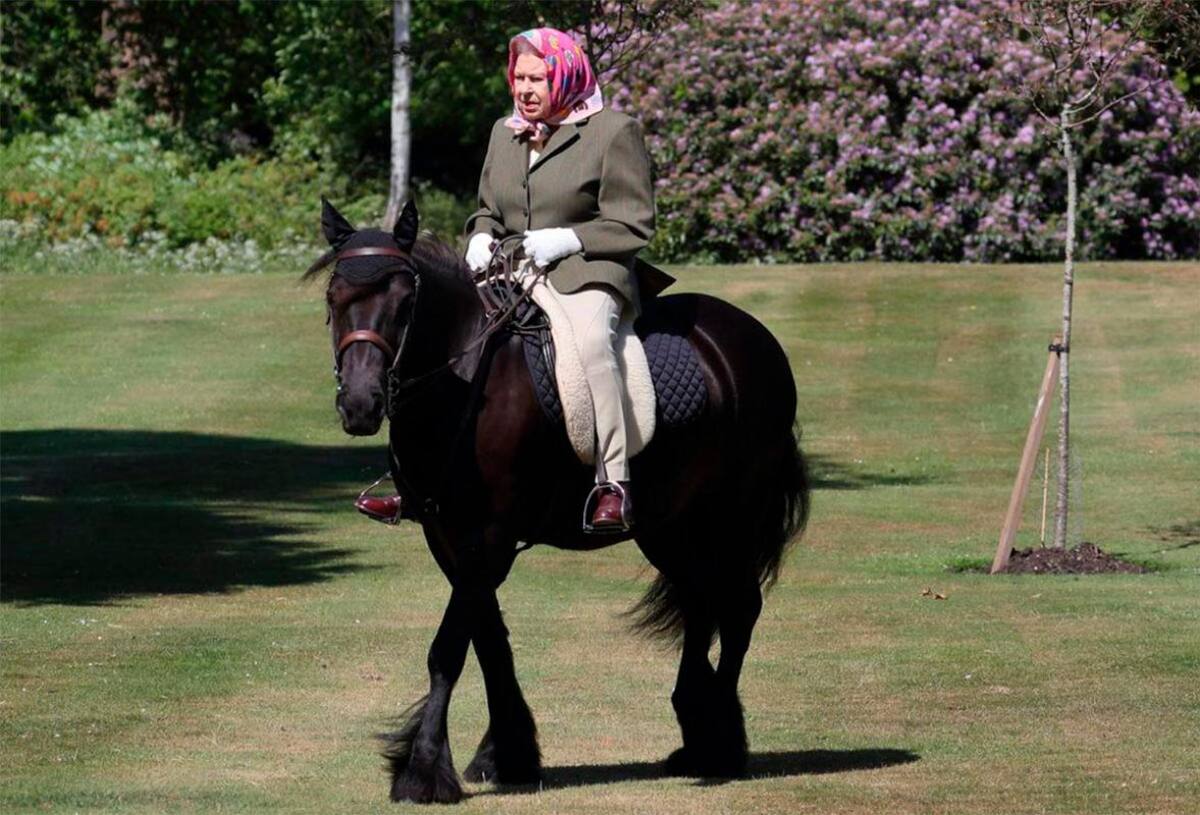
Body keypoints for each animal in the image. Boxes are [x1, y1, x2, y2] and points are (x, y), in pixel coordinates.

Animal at [305, 198, 810, 804]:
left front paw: (423, 770)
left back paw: (721, 745)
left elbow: (449, 649)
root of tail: (750, 337)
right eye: (334, 299)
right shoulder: (449, 536)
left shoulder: (490, 538)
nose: (361, 404)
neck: (464, 381)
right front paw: (507, 754)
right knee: (699, 603)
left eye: (406, 302)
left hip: (731, 514)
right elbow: (489, 640)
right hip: (670, 525)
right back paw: (696, 732)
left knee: (737, 610)